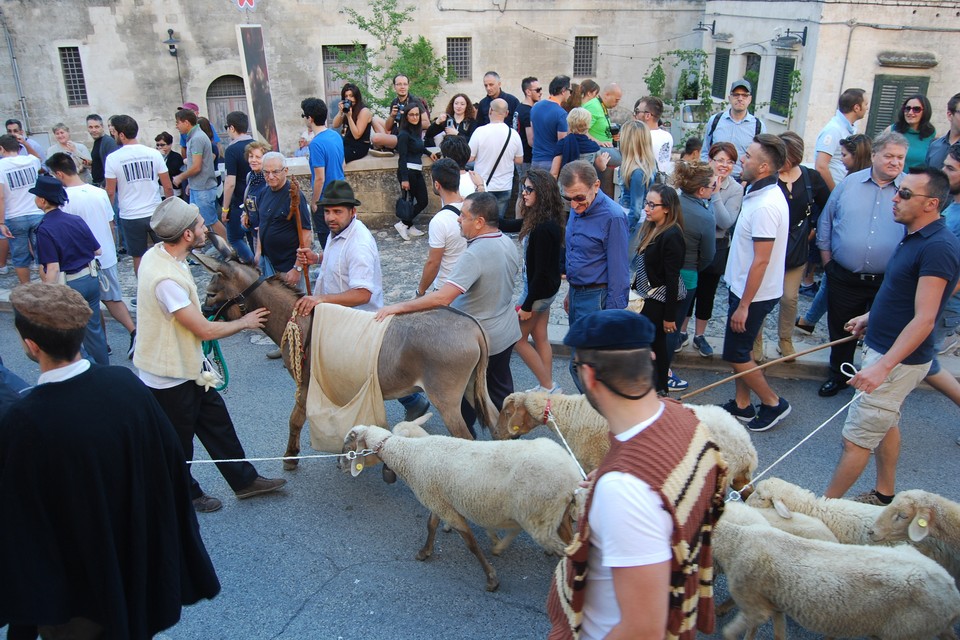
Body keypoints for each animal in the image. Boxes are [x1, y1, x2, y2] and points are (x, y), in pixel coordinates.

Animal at [342, 422, 580, 592]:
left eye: (348, 446)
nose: (338, 464)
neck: (407, 454)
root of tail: (572, 476)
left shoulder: (443, 506)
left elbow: (471, 544)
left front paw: (491, 579)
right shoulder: (438, 500)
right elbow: (431, 525)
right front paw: (425, 552)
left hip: (540, 518)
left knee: (568, 551)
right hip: (556, 516)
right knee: (572, 542)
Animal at [496, 390, 756, 490]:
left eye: (507, 412)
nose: (496, 435)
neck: (573, 414)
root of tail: (748, 449)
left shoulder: (592, 462)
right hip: (737, 480)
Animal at [712, 504, 960, 640]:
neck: (736, 539)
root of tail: (953, 595)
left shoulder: (753, 600)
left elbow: (742, 628)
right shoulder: (775, 603)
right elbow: (777, 633)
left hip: (905, 631)